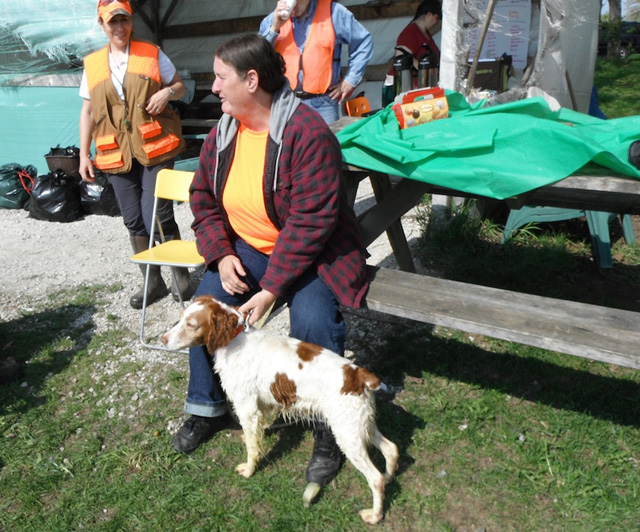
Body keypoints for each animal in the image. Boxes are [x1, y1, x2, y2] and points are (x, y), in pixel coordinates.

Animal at [162, 296, 398, 524]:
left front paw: (249, 470)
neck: (234, 339)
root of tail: (360, 376)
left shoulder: (246, 406)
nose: (163, 339)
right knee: (391, 449)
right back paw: (389, 477)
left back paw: (374, 515)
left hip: (347, 434)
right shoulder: (261, 404)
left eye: (192, 324)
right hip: (360, 425)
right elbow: (257, 432)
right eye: (180, 318)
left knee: (375, 477)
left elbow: (253, 448)